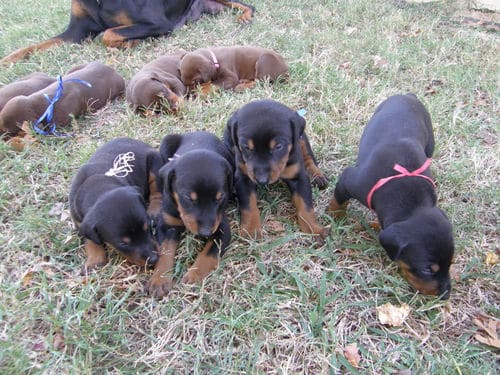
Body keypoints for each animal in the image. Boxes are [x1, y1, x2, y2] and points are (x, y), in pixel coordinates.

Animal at [0, 0, 254, 64]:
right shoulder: (75, 32)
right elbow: (32, 47)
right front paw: (7, 60)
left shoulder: (157, 23)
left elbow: (108, 34)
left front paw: (132, 42)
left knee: (249, 5)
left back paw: (245, 16)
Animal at [69, 137, 164, 274]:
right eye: (123, 244)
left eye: (148, 228)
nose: (153, 259)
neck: (97, 187)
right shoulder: (79, 222)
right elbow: (91, 240)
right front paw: (94, 261)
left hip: (154, 162)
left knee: (156, 187)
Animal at [148, 131, 234, 298]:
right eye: (188, 198)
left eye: (220, 197)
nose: (206, 233)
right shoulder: (166, 225)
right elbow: (165, 251)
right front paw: (160, 280)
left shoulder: (221, 228)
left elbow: (209, 253)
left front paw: (193, 275)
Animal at [224, 98, 328, 242]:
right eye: (246, 147)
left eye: (278, 146)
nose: (262, 180)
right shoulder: (244, 178)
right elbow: (248, 205)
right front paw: (251, 229)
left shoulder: (299, 177)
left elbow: (306, 205)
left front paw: (313, 229)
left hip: (301, 138)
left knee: (308, 155)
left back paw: (317, 175)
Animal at [326, 94, 456, 300]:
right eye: (427, 269)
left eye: (450, 263)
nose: (446, 295)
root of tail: (408, 95)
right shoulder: (351, 181)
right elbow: (338, 200)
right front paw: (333, 215)